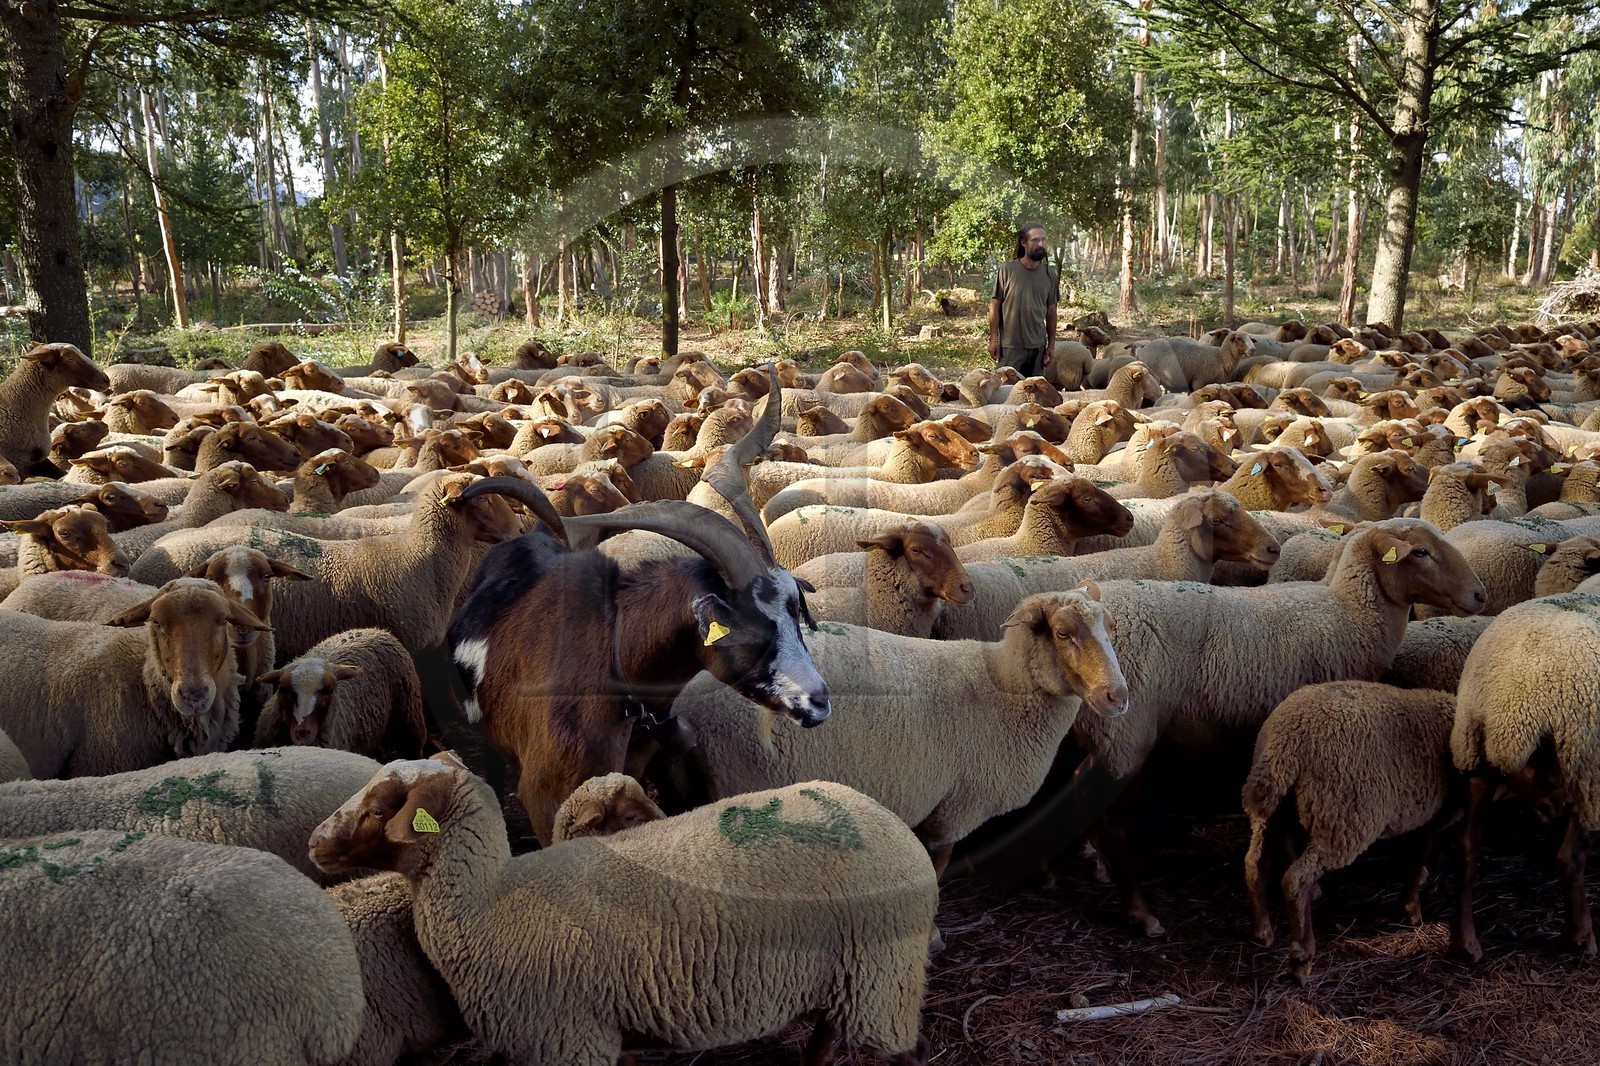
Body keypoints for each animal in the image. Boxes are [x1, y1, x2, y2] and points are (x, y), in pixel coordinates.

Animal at [309, 756, 936, 1066]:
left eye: (379, 809)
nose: (314, 842)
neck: (486, 903)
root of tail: (893, 824)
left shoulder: (569, 1037)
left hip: (884, 976)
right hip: (856, 979)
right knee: (827, 1041)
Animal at [1074, 519, 1485, 935]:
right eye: (1420, 552)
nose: (1480, 595)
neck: (1348, 613)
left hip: (1103, 734)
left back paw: (1095, 862)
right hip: (1128, 733)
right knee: (1116, 825)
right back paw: (1141, 913)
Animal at [1243, 682, 1459, 983]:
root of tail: (1285, 740)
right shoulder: (1435, 814)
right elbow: (1420, 854)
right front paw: (1412, 909)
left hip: (1275, 812)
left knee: (1255, 864)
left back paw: (1262, 931)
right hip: (1342, 816)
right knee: (1296, 879)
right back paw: (1301, 958)